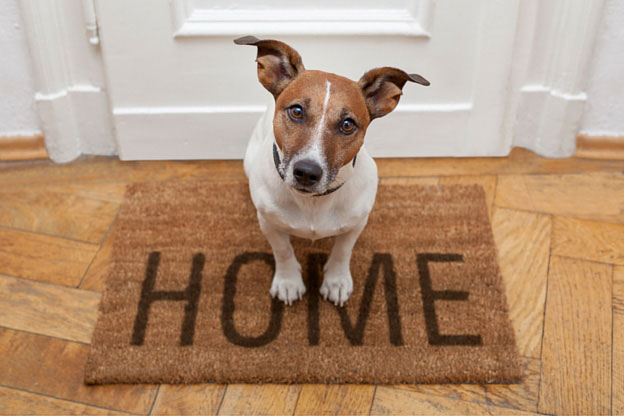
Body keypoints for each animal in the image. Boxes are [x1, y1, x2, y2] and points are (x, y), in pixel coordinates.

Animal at [235, 35, 428, 308]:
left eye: (348, 124)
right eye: (296, 111)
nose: (307, 172)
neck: (313, 203)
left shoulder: (356, 224)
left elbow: (342, 251)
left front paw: (336, 281)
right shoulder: (269, 223)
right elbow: (283, 251)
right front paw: (288, 281)